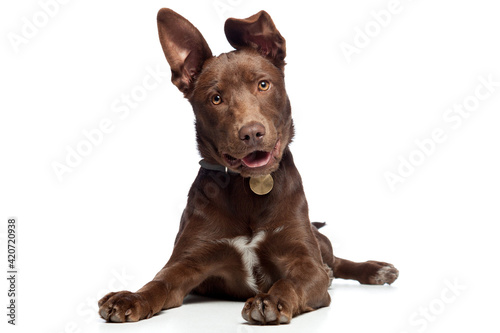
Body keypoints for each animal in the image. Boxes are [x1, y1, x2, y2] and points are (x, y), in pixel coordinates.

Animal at [98, 8, 398, 324]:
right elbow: (159, 282)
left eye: (263, 84)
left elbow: (290, 280)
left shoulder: (305, 261)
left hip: (320, 242)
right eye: (216, 98)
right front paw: (131, 297)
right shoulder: (188, 261)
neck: (249, 187)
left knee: (336, 262)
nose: (252, 132)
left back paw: (375, 270)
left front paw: (272, 299)